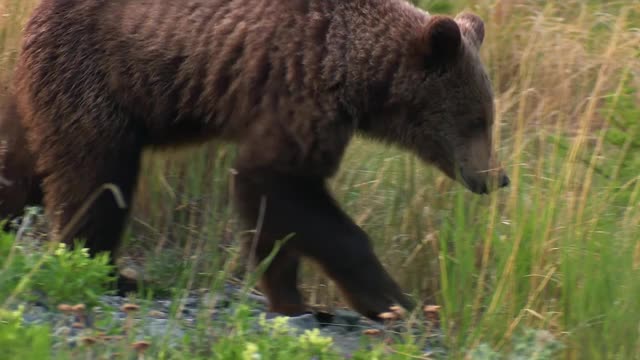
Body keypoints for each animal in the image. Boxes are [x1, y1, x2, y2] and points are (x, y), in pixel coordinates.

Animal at [11, 0, 510, 320]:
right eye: (478, 119)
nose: (497, 177)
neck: (357, 73)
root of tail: (35, 15)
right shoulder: (299, 91)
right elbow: (281, 187)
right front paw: (392, 300)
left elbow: (274, 213)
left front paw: (295, 300)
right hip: (98, 80)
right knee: (97, 176)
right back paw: (114, 274)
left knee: (21, 163)